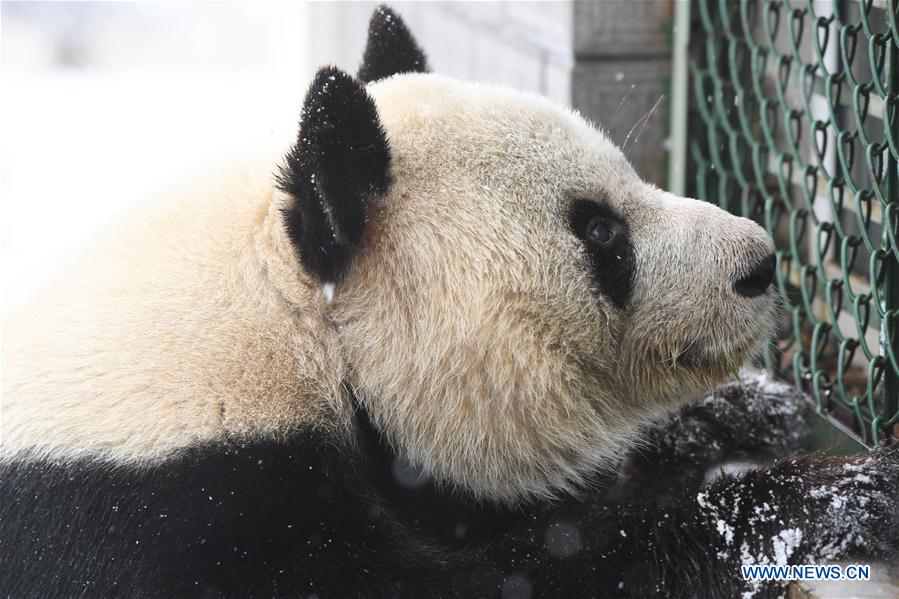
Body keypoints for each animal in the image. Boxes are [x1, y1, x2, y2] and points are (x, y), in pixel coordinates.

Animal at [1, 5, 899, 599]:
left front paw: (751, 411)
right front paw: (837, 495)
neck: (289, 311)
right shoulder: (179, 516)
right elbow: (496, 577)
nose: (757, 263)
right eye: (598, 230)